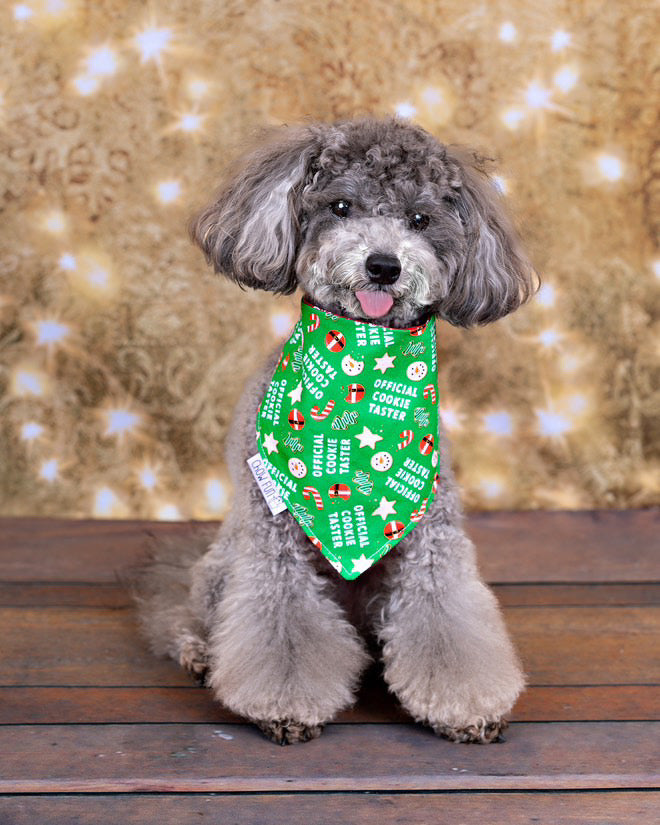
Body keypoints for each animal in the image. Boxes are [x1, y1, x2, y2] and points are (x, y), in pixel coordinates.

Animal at [134, 117, 536, 748]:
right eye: (341, 206)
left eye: (420, 219)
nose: (383, 265)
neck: (361, 367)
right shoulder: (273, 541)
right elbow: (283, 623)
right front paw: (285, 707)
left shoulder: (432, 538)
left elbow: (444, 615)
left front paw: (468, 708)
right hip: (224, 563)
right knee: (188, 613)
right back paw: (198, 651)